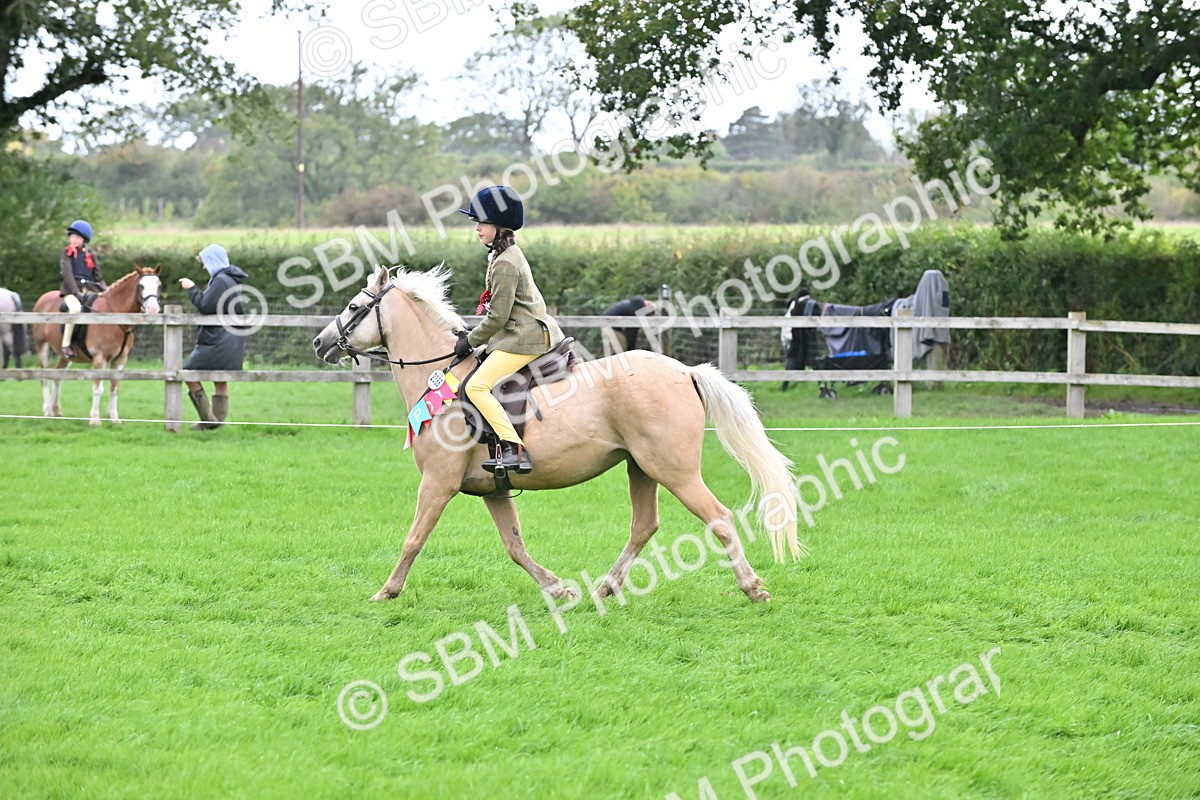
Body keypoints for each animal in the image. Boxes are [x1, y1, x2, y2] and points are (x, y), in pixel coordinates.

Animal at [31, 267, 163, 426]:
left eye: (159, 285)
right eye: (141, 286)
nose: (152, 308)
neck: (114, 316)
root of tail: (42, 298)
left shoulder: (120, 360)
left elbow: (114, 387)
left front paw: (114, 418)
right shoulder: (99, 359)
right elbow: (98, 388)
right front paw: (94, 419)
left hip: (65, 356)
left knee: (58, 377)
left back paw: (56, 409)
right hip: (42, 347)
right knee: (44, 378)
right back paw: (47, 411)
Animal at [312, 265, 804, 605]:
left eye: (354, 307)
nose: (320, 343)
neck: (441, 377)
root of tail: (685, 371)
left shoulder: (437, 483)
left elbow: (414, 538)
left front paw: (386, 592)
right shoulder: (493, 490)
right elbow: (514, 546)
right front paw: (560, 589)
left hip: (674, 471)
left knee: (718, 517)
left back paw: (753, 587)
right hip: (641, 468)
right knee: (644, 525)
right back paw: (605, 588)